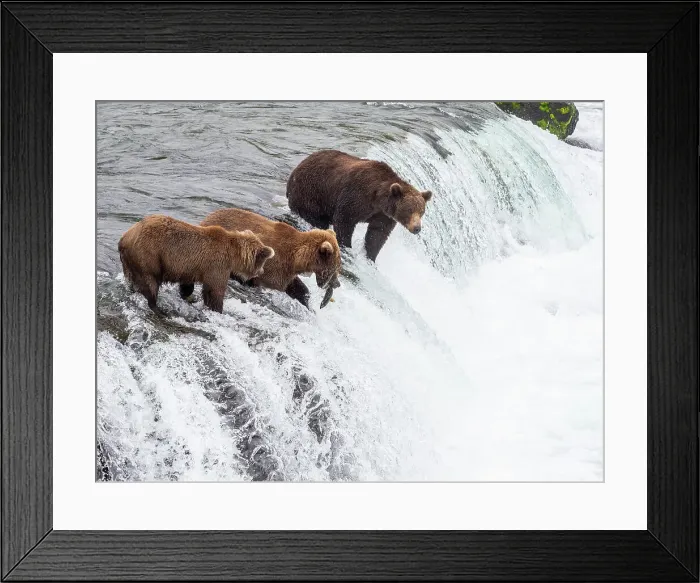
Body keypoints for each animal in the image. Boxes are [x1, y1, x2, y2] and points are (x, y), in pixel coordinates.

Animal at [118, 214, 274, 313]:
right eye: (263, 263)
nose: (261, 272)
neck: (233, 255)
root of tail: (125, 236)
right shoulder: (217, 265)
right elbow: (214, 290)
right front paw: (217, 309)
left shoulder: (191, 267)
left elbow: (187, 285)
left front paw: (189, 297)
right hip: (149, 255)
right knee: (150, 282)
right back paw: (158, 308)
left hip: (130, 261)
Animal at [179, 208, 341, 310]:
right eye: (335, 267)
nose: (337, 284)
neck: (297, 258)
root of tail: (206, 218)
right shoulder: (273, 264)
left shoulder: (285, 272)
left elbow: (295, 287)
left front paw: (308, 303)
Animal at [286, 150, 433, 261]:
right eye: (409, 210)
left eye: (422, 211)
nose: (417, 228)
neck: (378, 199)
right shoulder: (356, 196)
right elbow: (344, 220)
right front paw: (346, 246)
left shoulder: (384, 216)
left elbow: (377, 234)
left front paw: (371, 256)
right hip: (311, 194)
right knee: (316, 219)